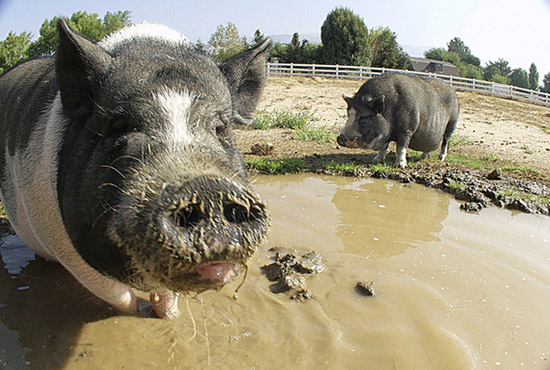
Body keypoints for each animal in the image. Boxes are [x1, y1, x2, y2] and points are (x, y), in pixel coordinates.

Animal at [0, 20, 272, 320]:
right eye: (121, 125)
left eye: (221, 128)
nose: (208, 187)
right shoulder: (67, 248)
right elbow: (117, 294)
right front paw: (135, 313)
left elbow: (167, 294)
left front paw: (168, 316)